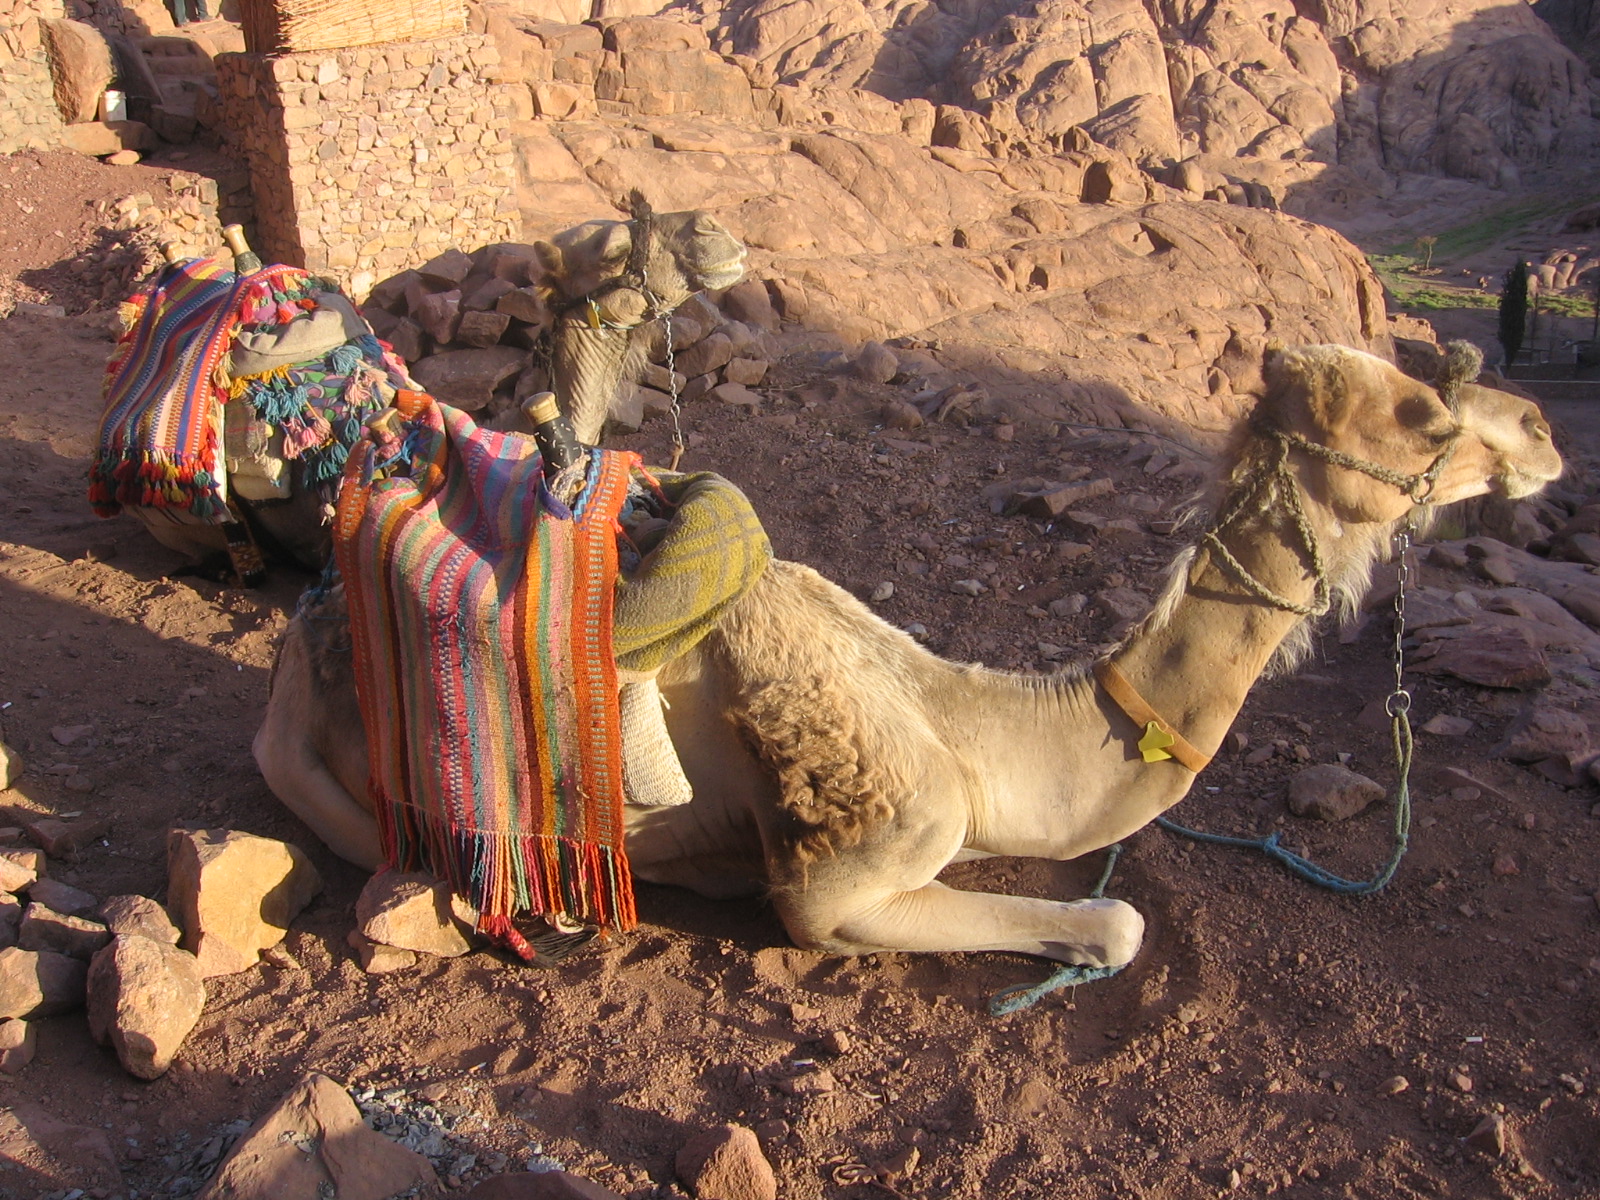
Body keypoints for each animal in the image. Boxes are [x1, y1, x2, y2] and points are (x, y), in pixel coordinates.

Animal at [254, 344, 1561, 971]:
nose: (1545, 435)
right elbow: (1114, 925)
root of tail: (304, 640)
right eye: (1425, 419)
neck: (973, 734)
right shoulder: (848, 874)